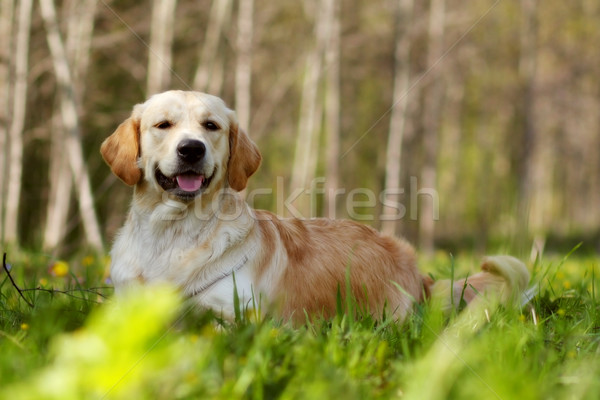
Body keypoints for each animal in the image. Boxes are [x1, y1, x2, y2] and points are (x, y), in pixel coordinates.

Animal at [101, 90, 528, 324]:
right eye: (163, 125)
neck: (175, 233)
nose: (192, 149)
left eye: (211, 126)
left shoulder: (237, 317)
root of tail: (417, 271)